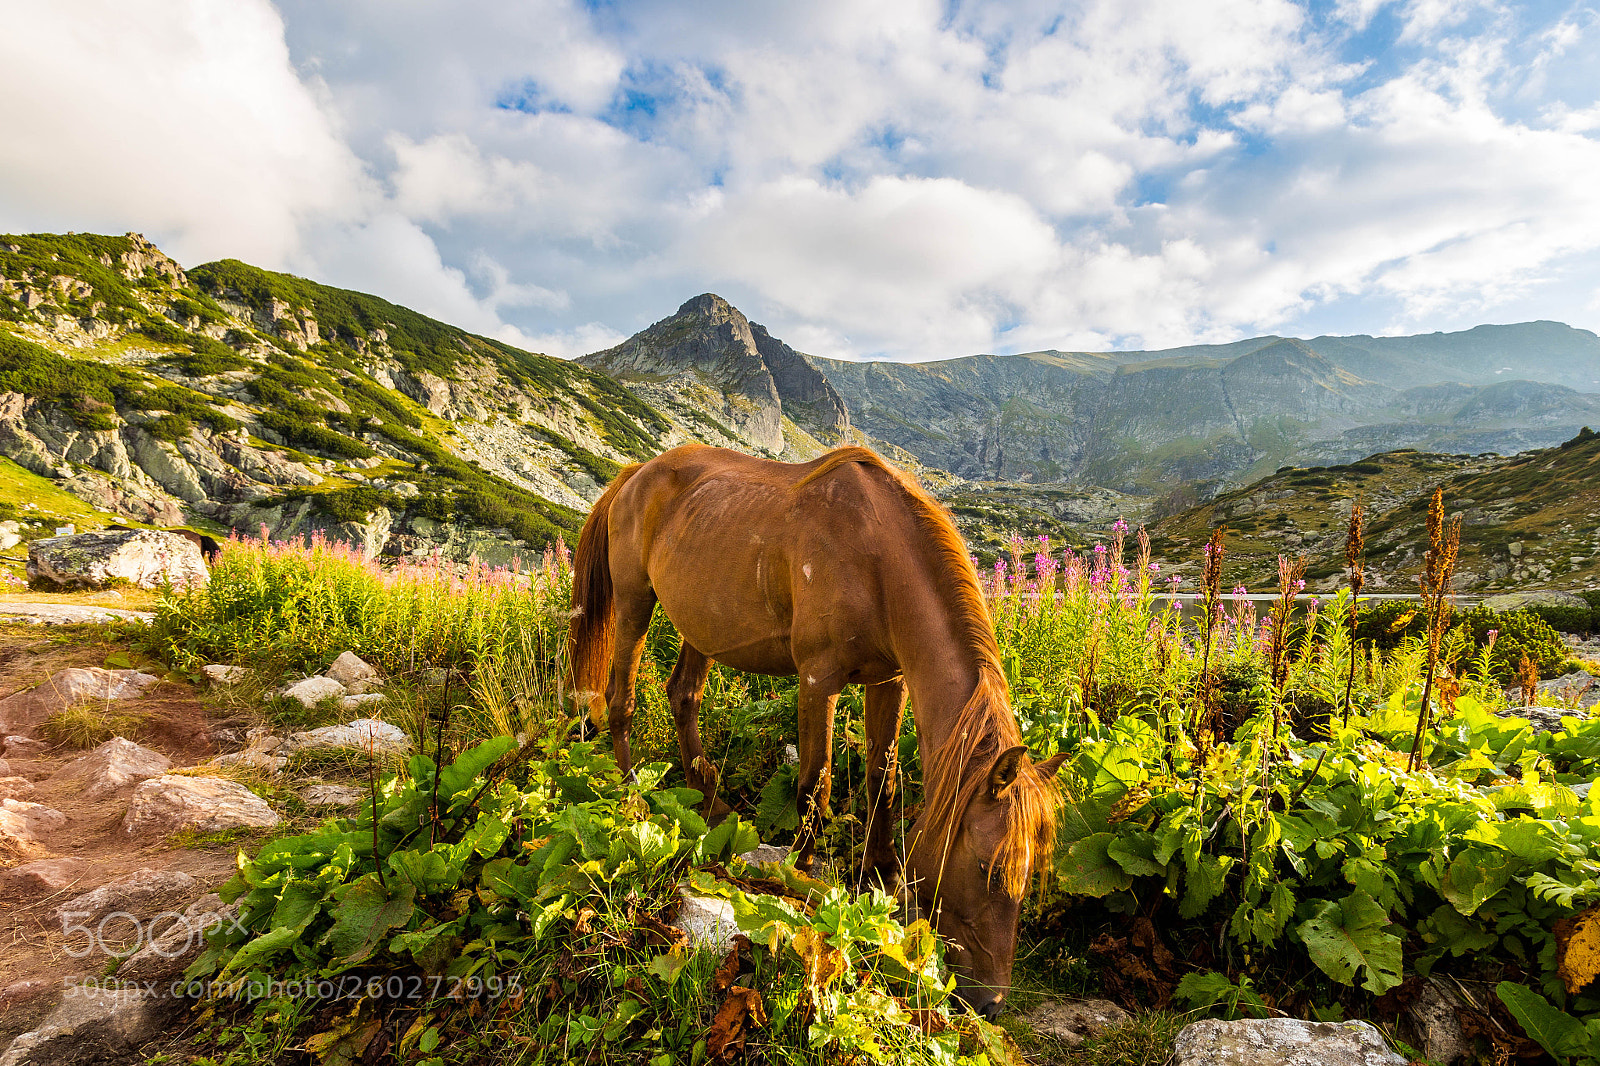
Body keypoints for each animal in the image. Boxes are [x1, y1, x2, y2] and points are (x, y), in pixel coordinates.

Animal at [566, 443, 1066, 1017]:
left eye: (1030, 872)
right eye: (988, 868)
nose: (990, 1003)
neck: (879, 560)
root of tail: (634, 475)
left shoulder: (888, 680)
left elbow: (882, 780)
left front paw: (879, 876)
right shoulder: (817, 678)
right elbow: (815, 782)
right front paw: (799, 880)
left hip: (702, 623)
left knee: (683, 696)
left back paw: (708, 805)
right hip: (634, 604)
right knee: (621, 701)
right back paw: (633, 798)